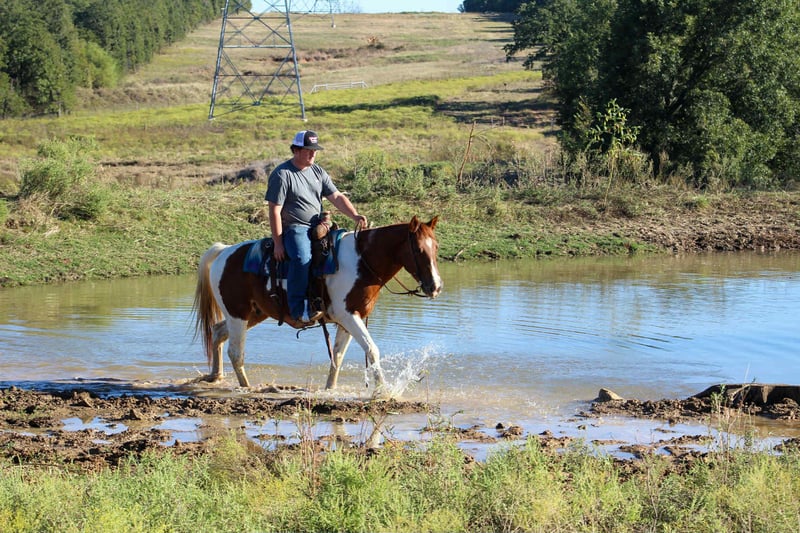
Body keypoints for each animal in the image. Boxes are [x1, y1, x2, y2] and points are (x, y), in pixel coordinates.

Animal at [192, 215, 442, 392]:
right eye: (418, 249)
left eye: (436, 247)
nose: (436, 286)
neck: (362, 261)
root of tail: (225, 252)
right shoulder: (348, 315)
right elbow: (372, 349)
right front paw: (384, 391)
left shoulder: (349, 320)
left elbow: (338, 356)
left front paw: (330, 389)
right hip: (239, 315)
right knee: (236, 352)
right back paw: (248, 388)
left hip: (254, 313)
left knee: (218, 332)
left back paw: (216, 376)